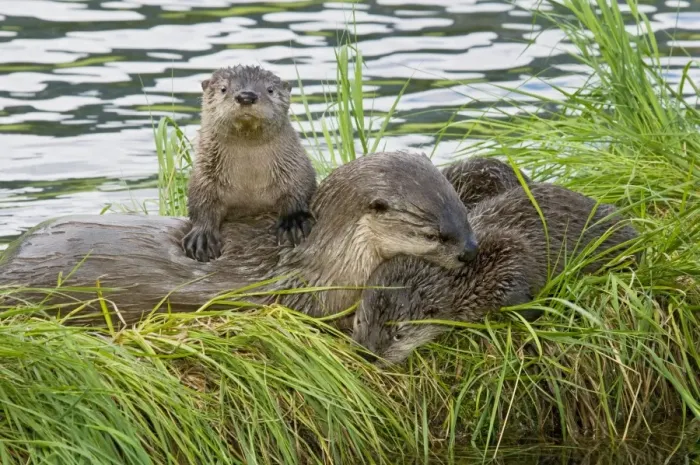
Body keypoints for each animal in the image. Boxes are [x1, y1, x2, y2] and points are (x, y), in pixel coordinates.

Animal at [183, 65, 317, 262]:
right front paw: (202, 236)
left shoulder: (296, 167)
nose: (246, 96)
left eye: (270, 89)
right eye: (223, 89)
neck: (249, 183)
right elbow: (200, 202)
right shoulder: (204, 176)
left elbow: (299, 188)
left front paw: (294, 221)